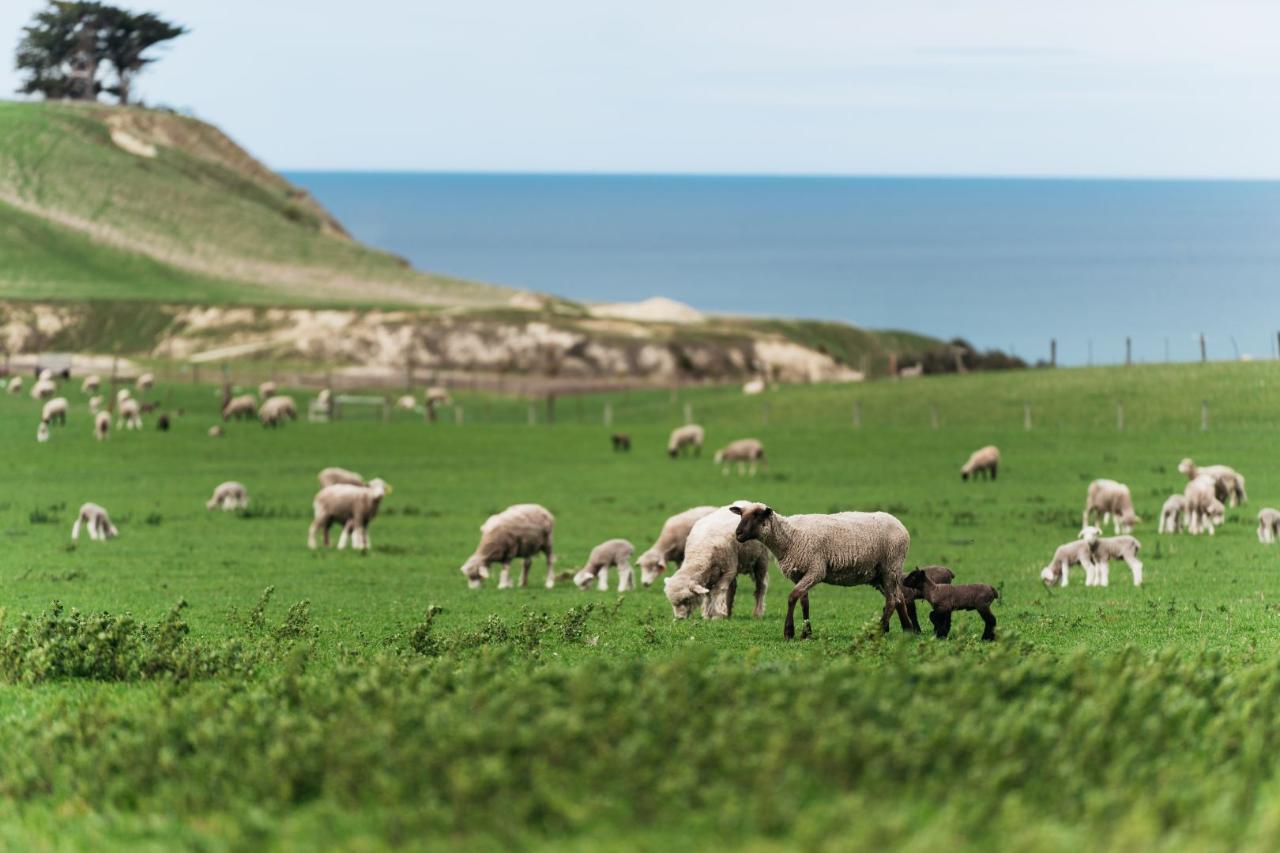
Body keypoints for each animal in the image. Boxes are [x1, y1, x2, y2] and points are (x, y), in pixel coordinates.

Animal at [729, 502, 912, 639]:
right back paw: (909, 630)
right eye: (741, 515)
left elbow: (792, 597)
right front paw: (806, 633)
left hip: (891, 566)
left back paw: (877, 632)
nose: (738, 533)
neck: (790, 537)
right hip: (882, 573)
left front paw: (789, 632)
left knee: (891, 600)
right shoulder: (800, 573)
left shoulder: (816, 569)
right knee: (899, 598)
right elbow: (804, 602)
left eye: (757, 515)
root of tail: (901, 526)